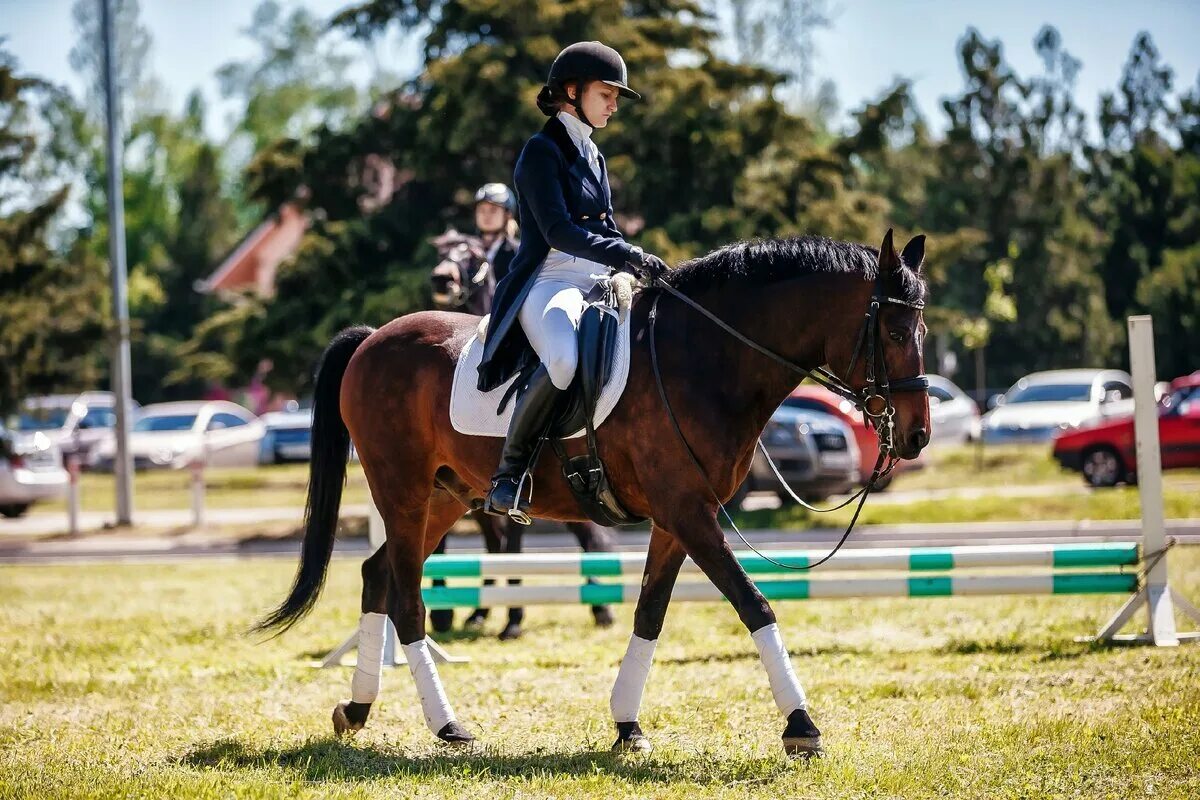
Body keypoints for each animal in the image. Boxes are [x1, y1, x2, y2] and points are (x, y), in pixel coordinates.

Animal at [253, 230, 931, 758]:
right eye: (896, 330)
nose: (917, 435)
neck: (703, 359)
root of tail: (373, 338)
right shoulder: (689, 512)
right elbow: (754, 604)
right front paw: (801, 726)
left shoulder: (678, 518)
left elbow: (649, 613)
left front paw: (627, 724)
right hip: (404, 492)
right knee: (407, 598)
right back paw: (447, 725)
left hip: (444, 498)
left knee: (378, 576)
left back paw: (357, 710)